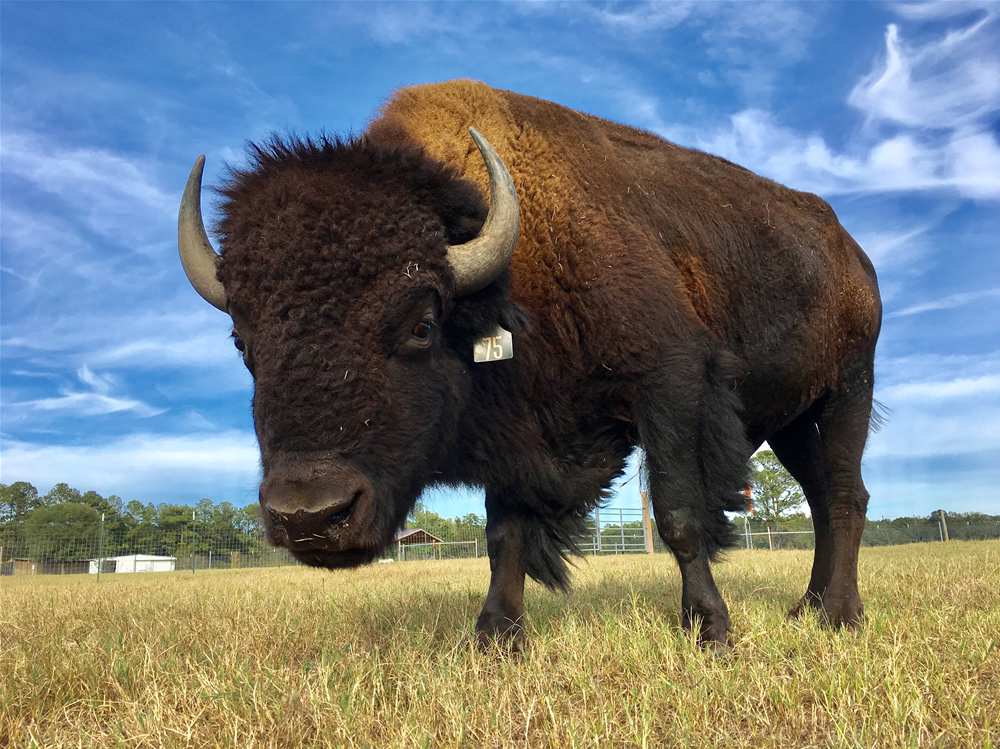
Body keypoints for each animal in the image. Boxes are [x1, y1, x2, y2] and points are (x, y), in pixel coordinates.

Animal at [178, 80, 881, 649]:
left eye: (422, 324)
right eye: (242, 341)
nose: (309, 516)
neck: (510, 277)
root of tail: (850, 250)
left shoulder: (671, 382)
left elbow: (680, 514)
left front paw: (710, 630)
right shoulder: (515, 431)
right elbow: (503, 534)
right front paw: (496, 636)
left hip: (850, 385)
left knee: (846, 493)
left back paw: (841, 616)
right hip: (793, 421)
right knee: (821, 496)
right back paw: (806, 608)